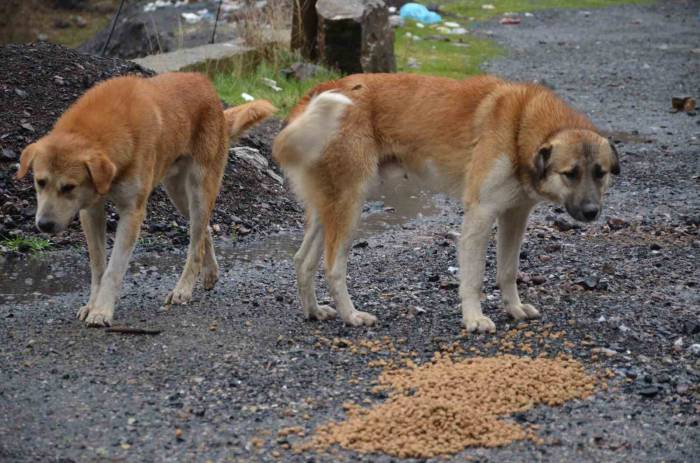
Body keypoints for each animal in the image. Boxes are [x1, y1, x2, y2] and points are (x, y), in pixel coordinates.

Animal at [16, 71, 276, 326]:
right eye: (40, 182)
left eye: (68, 187)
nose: (44, 225)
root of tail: (208, 88)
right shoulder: (90, 211)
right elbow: (98, 267)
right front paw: (92, 304)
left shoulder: (132, 212)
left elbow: (113, 269)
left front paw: (102, 311)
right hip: (178, 195)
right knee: (204, 232)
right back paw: (210, 272)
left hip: (199, 191)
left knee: (195, 246)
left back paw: (183, 289)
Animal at [272, 73, 616, 334]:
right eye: (570, 174)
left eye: (600, 173)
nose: (591, 213)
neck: (520, 126)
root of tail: (318, 90)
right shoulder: (481, 214)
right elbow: (474, 278)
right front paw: (474, 319)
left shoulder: (514, 216)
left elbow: (507, 271)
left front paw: (514, 308)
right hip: (349, 208)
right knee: (333, 267)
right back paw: (351, 315)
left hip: (327, 209)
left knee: (303, 261)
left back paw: (314, 311)